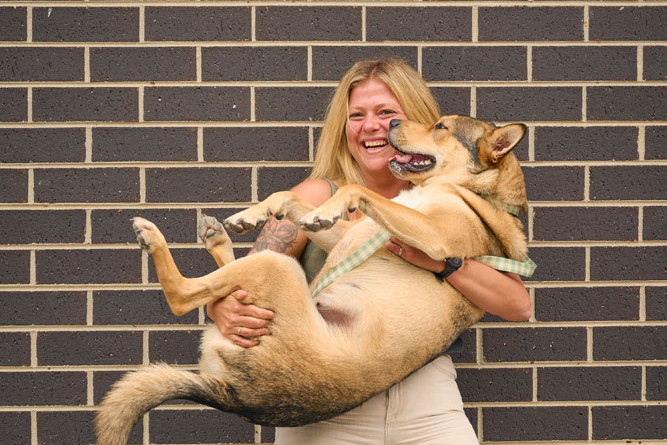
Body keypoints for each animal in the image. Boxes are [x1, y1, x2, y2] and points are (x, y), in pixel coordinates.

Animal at [96, 116, 528, 442]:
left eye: (440, 126)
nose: (391, 121)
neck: (473, 193)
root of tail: (237, 398)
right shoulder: (352, 232)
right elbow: (289, 198)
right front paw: (254, 213)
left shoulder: (432, 237)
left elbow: (351, 190)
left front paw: (327, 206)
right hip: (272, 266)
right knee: (221, 280)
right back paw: (218, 235)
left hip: (276, 268)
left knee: (182, 295)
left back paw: (153, 237)